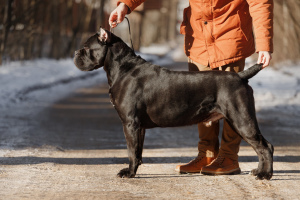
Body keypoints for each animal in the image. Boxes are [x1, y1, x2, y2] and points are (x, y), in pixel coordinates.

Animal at [74, 27, 274, 180]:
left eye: (86, 47)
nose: (75, 53)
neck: (123, 67)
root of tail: (240, 76)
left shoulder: (130, 123)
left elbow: (131, 151)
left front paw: (129, 173)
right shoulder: (139, 127)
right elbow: (138, 152)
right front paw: (134, 170)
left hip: (242, 119)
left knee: (265, 147)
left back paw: (265, 175)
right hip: (237, 120)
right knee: (262, 147)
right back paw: (259, 171)